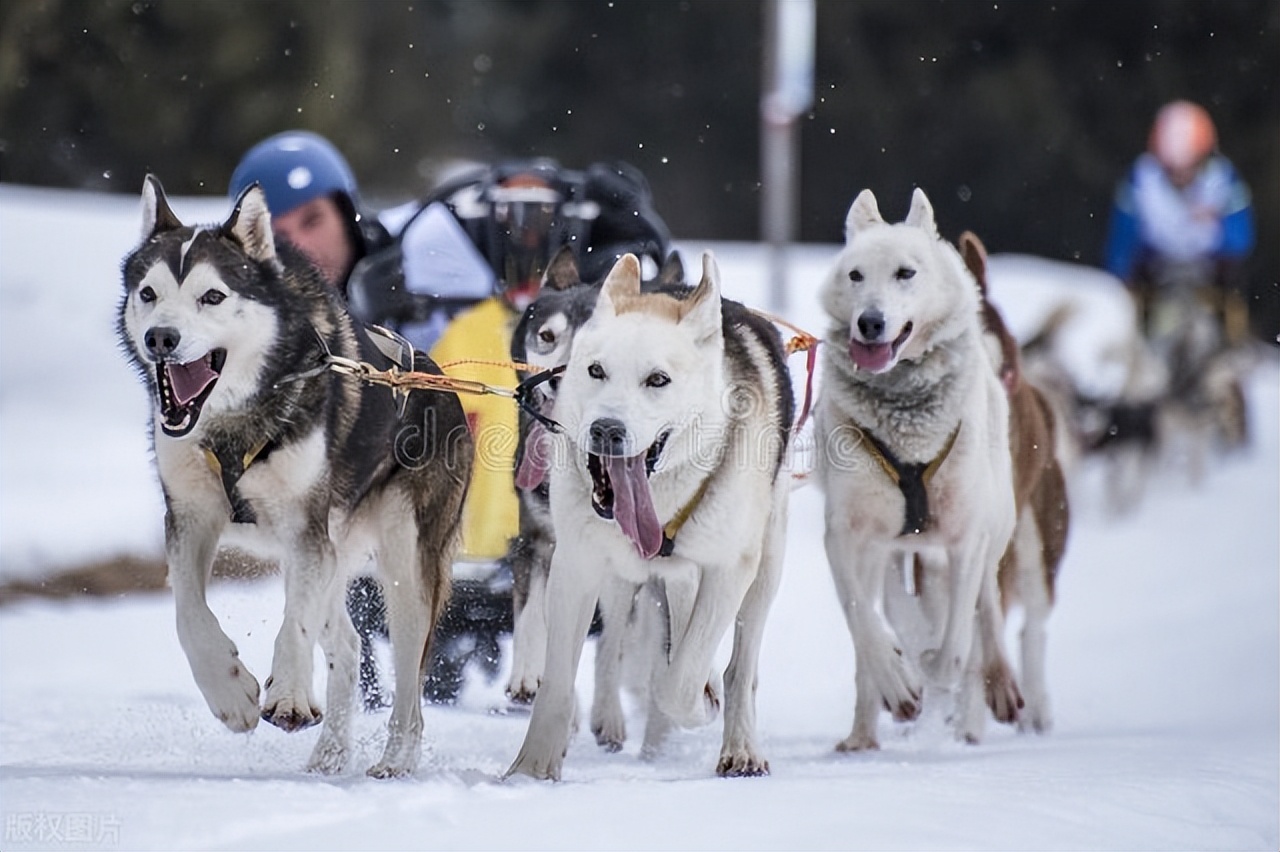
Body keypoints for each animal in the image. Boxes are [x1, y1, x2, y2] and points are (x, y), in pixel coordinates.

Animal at [117, 175, 471, 772]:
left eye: (213, 296)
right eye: (149, 293)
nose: (161, 338)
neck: (234, 425)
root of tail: (439, 379)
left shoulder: (305, 529)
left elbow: (294, 625)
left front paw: (286, 695)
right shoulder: (190, 516)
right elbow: (189, 614)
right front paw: (230, 691)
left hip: (402, 558)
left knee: (409, 675)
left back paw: (396, 759)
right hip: (331, 549)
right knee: (349, 647)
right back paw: (330, 754)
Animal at [506, 252, 788, 777]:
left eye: (658, 379)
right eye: (594, 369)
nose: (605, 429)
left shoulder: (728, 569)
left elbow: (681, 680)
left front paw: (701, 700)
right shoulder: (573, 560)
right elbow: (556, 675)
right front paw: (531, 769)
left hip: (764, 565)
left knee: (738, 663)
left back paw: (738, 742)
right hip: (630, 574)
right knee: (628, 632)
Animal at [819, 189, 1018, 747]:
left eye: (905, 273)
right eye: (855, 275)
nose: (869, 321)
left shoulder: (966, 537)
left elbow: (955, 645)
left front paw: (934, 667)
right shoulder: (844, 534)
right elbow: (861, 619)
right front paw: (897, 680)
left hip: (996, 523)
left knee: (987, 609)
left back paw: (999, 683)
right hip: (886, 548)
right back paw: (863, 731)